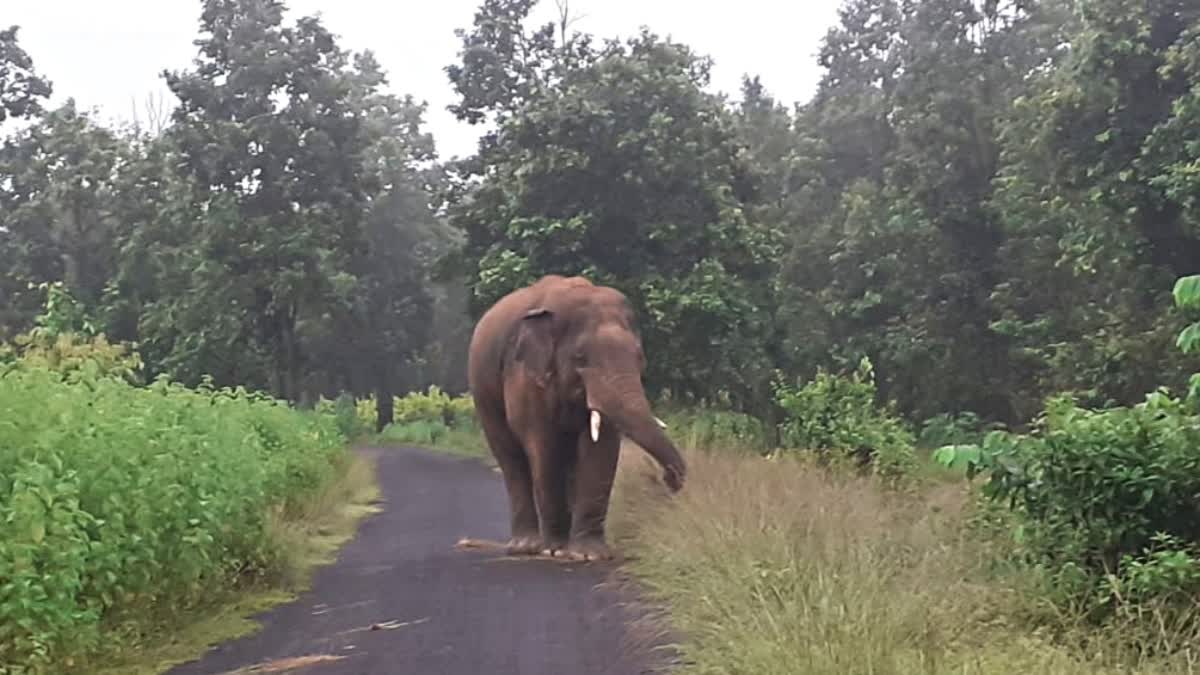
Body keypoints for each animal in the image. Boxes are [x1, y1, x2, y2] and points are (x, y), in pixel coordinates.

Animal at [470, 271, 696, 557]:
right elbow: (543, 447)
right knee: (511, 458)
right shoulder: (524, 375)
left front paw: (589, 554)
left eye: (640, 358)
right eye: (580, 357)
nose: (665, 480)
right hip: (483, 394)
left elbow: (601, 449)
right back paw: (527, 546)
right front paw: (555, 550)